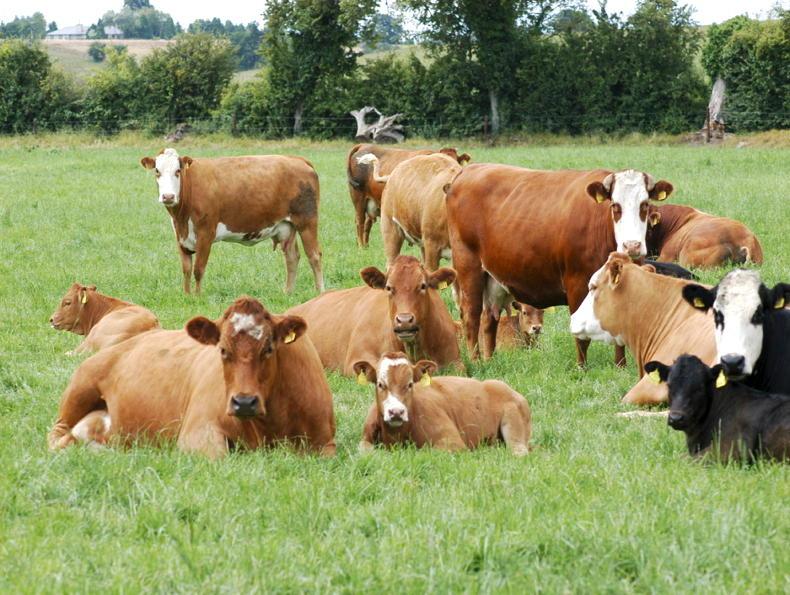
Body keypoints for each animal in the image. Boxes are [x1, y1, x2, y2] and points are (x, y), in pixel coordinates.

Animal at [47, 297, 336, 458]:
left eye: (268, 348)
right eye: (222, 350)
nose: (244, 402)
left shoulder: (326, 443)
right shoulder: (195, 434)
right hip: (81, 386)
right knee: (57, 436)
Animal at [140, 148, 324, 295]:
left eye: (178, 171)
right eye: (157, 171)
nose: (168, 196)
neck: (181, 218)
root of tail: (297, 159)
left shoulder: (206, 233)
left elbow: (198, 269)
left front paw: (197, 297)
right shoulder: (180, 236)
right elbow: (186, 269)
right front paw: (187, 295)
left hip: (307, 221)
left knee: (314, 256)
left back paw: (320, 292)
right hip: (286, 226)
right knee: (292, 257)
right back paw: (288, 292)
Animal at [354, 352, 531, 455]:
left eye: (410, 384)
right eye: (380, 384)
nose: (396, 412)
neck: (396, 436)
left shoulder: (453, 442)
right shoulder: (365, 439)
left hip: (515, 432)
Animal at [446, 165, 673, 363]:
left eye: (645, 205)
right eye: (615, 206)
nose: (632, 245)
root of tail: (468, 171)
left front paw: (620, 365)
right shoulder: (576, 283)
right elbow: (581, 336)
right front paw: (582, 368)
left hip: (493, 280)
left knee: (489, 320)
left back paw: (490, 360)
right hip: (468, 267)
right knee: (471, 316)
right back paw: (476, 362)